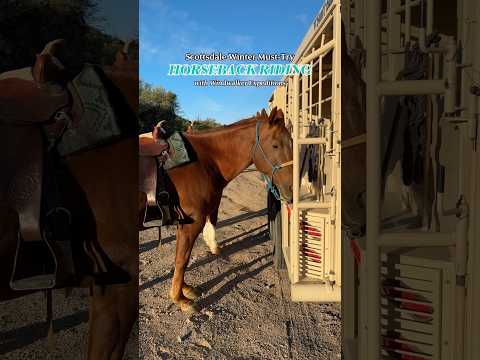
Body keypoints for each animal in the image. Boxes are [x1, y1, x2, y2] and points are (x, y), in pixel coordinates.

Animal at [141, 108, 294, 314]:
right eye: (275, 145)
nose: (292, 191)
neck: (204, 161)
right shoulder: (192, 224)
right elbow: (182, 260)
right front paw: (179, 298)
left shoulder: (185, 224)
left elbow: (181, 258)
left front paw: (185, 289)